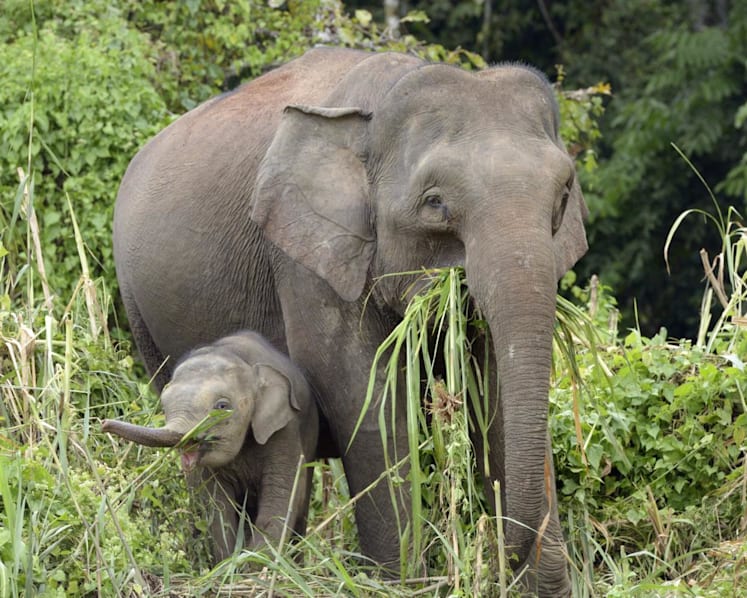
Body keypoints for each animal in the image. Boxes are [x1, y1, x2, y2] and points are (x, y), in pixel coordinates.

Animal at [102, 331, 318, 562]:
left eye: (222, 406)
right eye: (164, 405)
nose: (103, 423)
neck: (240, 358)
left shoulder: (284, 431)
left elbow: (279, 498)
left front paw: (251, 564)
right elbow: (216, 505)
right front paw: (228, 562)